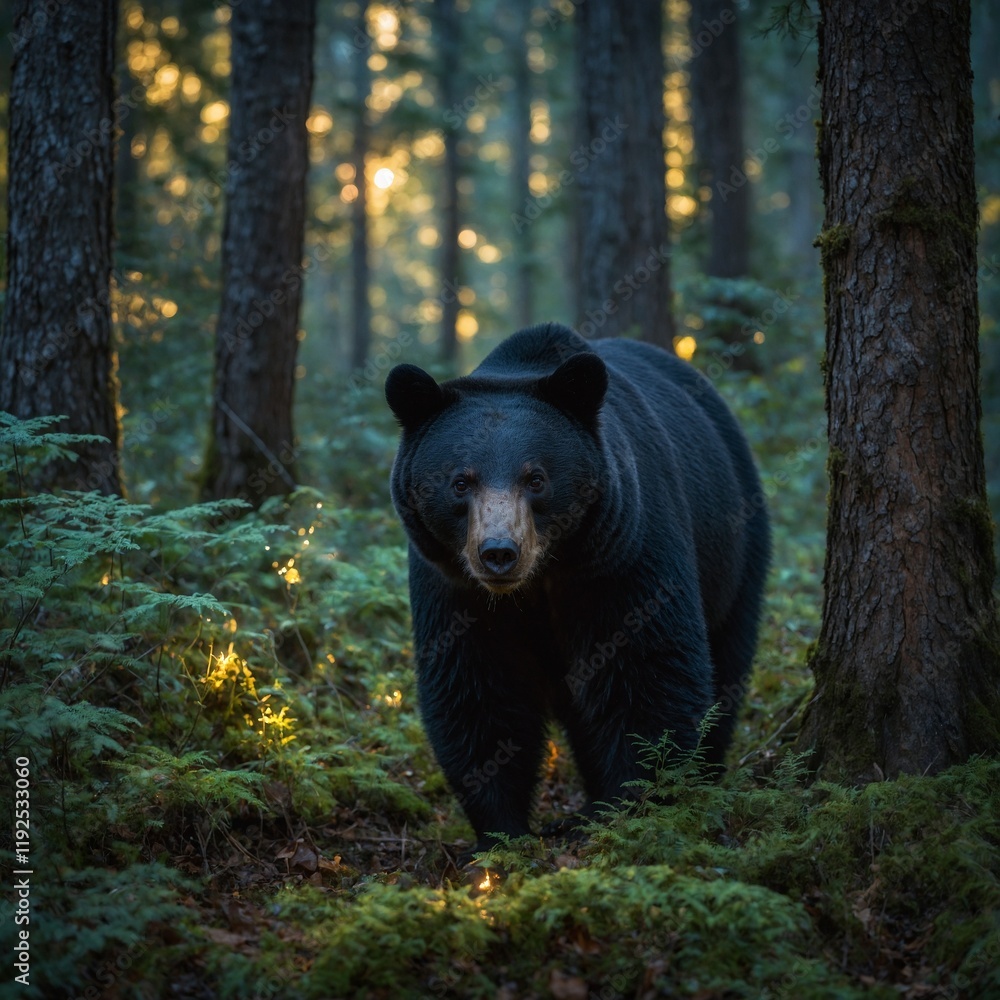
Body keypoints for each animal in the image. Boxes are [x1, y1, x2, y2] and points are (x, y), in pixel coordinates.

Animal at [385, 322, 770, 848]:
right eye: (461, 482)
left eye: (536, 478)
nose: (499, 553)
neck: (541, 579)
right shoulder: (453, 587)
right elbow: (478, 689)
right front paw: (502, 834)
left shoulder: (622, 558)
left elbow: (647, 673)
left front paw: (635, 807)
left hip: (736, 544)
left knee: (726, 662)